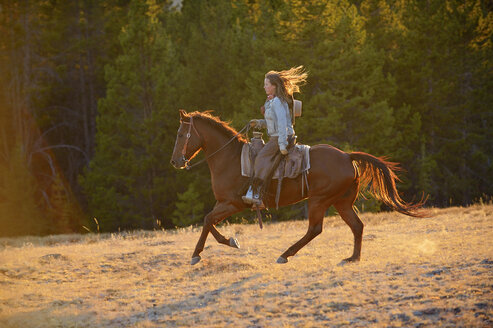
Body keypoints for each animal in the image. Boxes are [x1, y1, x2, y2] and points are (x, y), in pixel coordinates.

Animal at [170, 109, 422, 266]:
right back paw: (352, 258)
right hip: (341, 202)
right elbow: (208, 221)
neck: (230, 159)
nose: (175, 161)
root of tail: (347, 156)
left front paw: (202, 253)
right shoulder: (223, 203)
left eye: (181, 134)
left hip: (319, 200)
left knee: (315, 229)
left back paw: (285, 254)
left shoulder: (233, 204)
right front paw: (226, 243)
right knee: (357, 226)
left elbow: (207, 220)